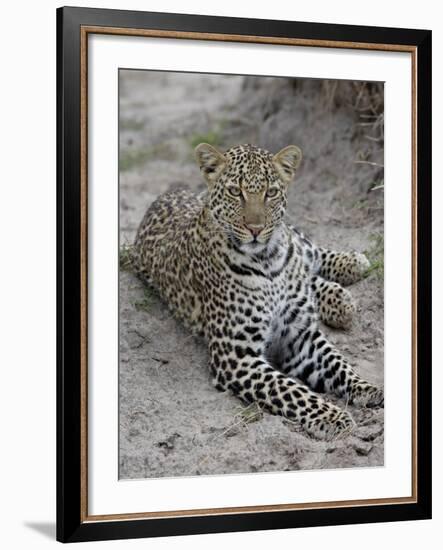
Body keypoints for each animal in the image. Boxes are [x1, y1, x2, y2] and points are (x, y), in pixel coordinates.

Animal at [132, 143, 386, 444]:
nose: (255, 229)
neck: (267, 262)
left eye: (271, 193)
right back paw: (339, 298)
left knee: (308, 254)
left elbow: (339, 365)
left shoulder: (301, 335)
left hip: (295, 238)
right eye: (235, 191)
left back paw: (350, 269)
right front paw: (333, 417)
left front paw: (369, 389)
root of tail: (165, 195)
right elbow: (289, 389)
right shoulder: (237, 356)